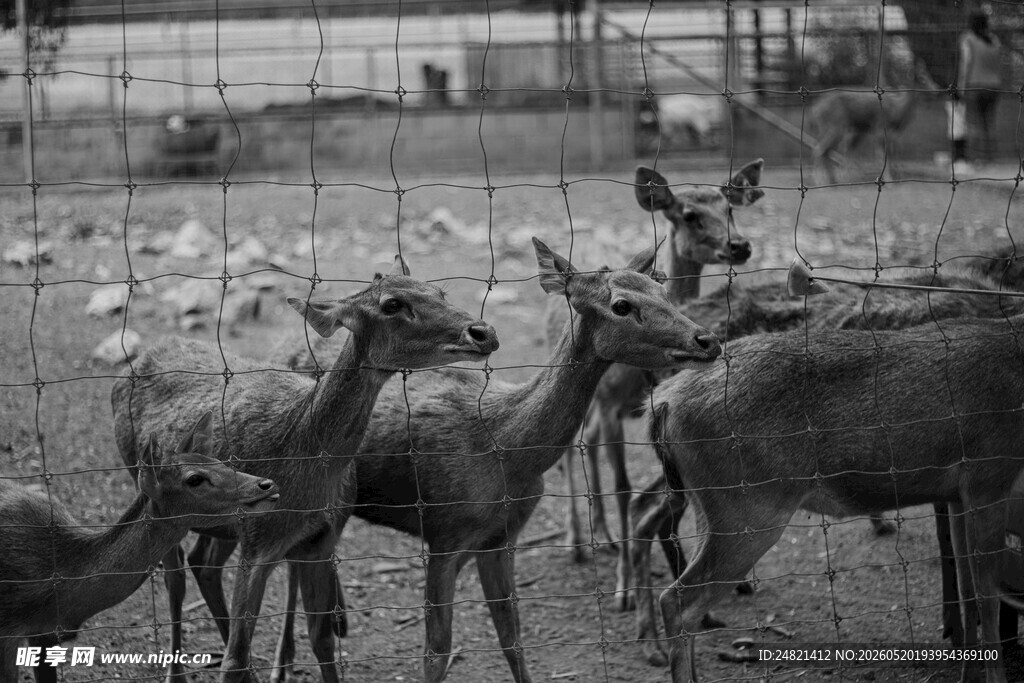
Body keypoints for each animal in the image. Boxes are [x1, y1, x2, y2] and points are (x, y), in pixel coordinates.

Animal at [110, 256, 499, 683]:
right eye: (392, 304)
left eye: (439, 291)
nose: (483, 332)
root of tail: (133, 364)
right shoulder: (258, 541)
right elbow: (233, 659)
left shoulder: (322, 539)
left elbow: (322, 639)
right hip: (153, 491)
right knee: (175, 578)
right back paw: (177, 671)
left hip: (222, 524)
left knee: (204, 563)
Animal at [180, 237, 723, 682]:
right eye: (622, 304)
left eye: (663, 287)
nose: (707, 339)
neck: (508, 449)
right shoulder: (443, 531)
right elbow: (436, 652)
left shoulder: (501, 537)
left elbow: (513, 639)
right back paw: (285, 658)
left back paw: (333, 620)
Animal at [545, 161, 765, 615]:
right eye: (689, 214)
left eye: (730, 208)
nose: (739, 246)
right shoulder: (611, 405)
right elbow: (625, 487)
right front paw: (623, 590)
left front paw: (740, 581)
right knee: (573, 450)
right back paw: (577, 542)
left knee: (588, 442)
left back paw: (605, 534)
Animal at [628, 260, 1024, 667]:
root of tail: (661, 402)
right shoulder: (990, 473)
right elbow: (988, 598)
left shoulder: (957, 493)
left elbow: (968, 593)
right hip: (748, 509)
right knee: (677, 598)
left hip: (705, 501)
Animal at [810, 59, 938, 184]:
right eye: (922, 77)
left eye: (929, 74)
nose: (935, 89)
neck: (897, 111)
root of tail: (815, 110)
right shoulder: (880, 128)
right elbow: (883, 154)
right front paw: (889, 179)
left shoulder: (891, 133)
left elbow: (892, 153)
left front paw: (895, 176)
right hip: (836, 125)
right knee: (821, 149)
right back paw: (822, 181)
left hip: (844, 129)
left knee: (830, 150)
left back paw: (834, 180)